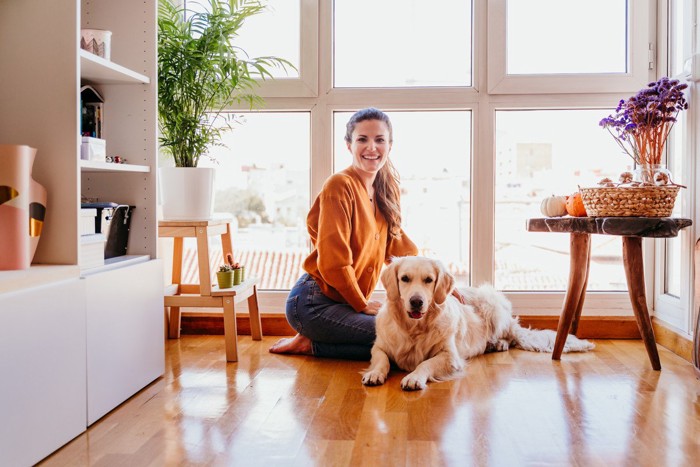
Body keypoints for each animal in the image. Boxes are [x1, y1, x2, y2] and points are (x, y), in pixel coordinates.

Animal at [360, 256, 596, 392]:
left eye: (428, 280)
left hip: (492, 303)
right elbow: (382, 360)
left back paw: (498, 343)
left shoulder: (450, 356)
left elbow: (425, 364)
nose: (416, 301)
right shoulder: (380, 347)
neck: (413, 328)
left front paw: (414, 377)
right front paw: (374, 373)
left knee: (510, 336)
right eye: (405, 278)